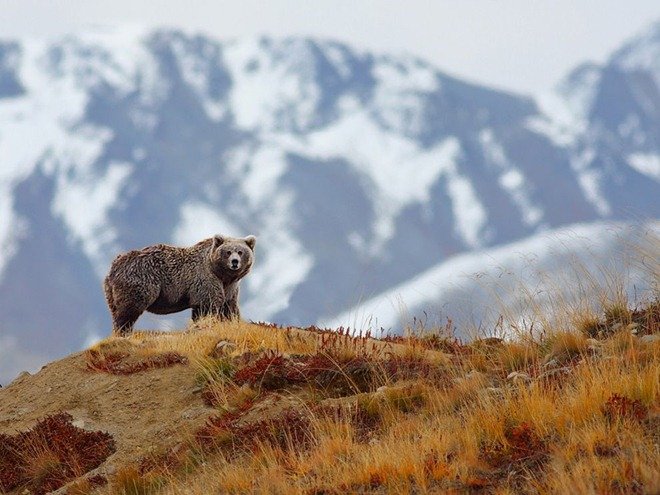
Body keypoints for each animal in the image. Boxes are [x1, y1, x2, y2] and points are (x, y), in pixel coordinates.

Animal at [104, 234, 256, 336]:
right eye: (228, 252)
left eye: (240, 251)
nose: (235, 262)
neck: (222, 275)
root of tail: (114, 266)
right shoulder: (205, 281)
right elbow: (207, 306)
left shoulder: (230, 288)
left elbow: (228, 307)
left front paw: (232, 321)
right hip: (140, 281)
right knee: (128, 311)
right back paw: (123, 332)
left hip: (111, 293)